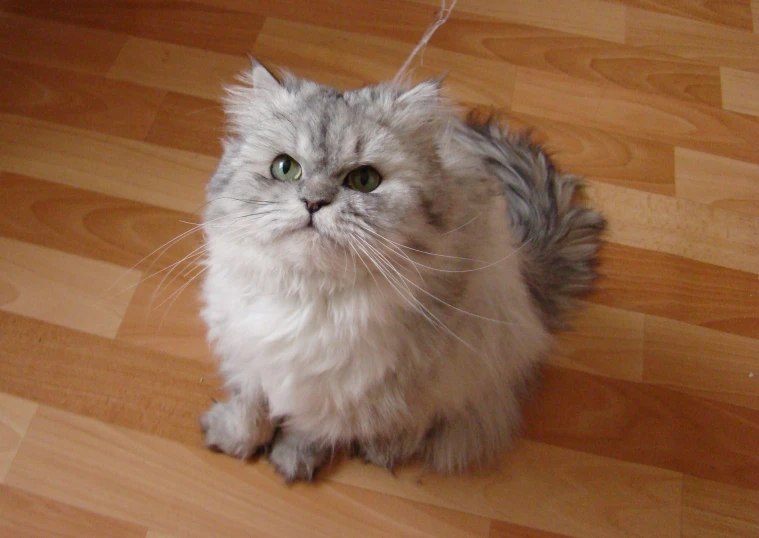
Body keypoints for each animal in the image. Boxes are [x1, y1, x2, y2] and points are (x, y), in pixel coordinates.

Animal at [197, 60, 604, 480]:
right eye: (285, 168)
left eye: (364, 180)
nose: (313, 202)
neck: (307, 296)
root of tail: (524, 263)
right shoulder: (248, 351)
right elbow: (250, 407)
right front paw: (235, 438)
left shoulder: (340, 387)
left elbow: (313, 428)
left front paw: (293, 457)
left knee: (426, 419)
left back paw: (386, 446)